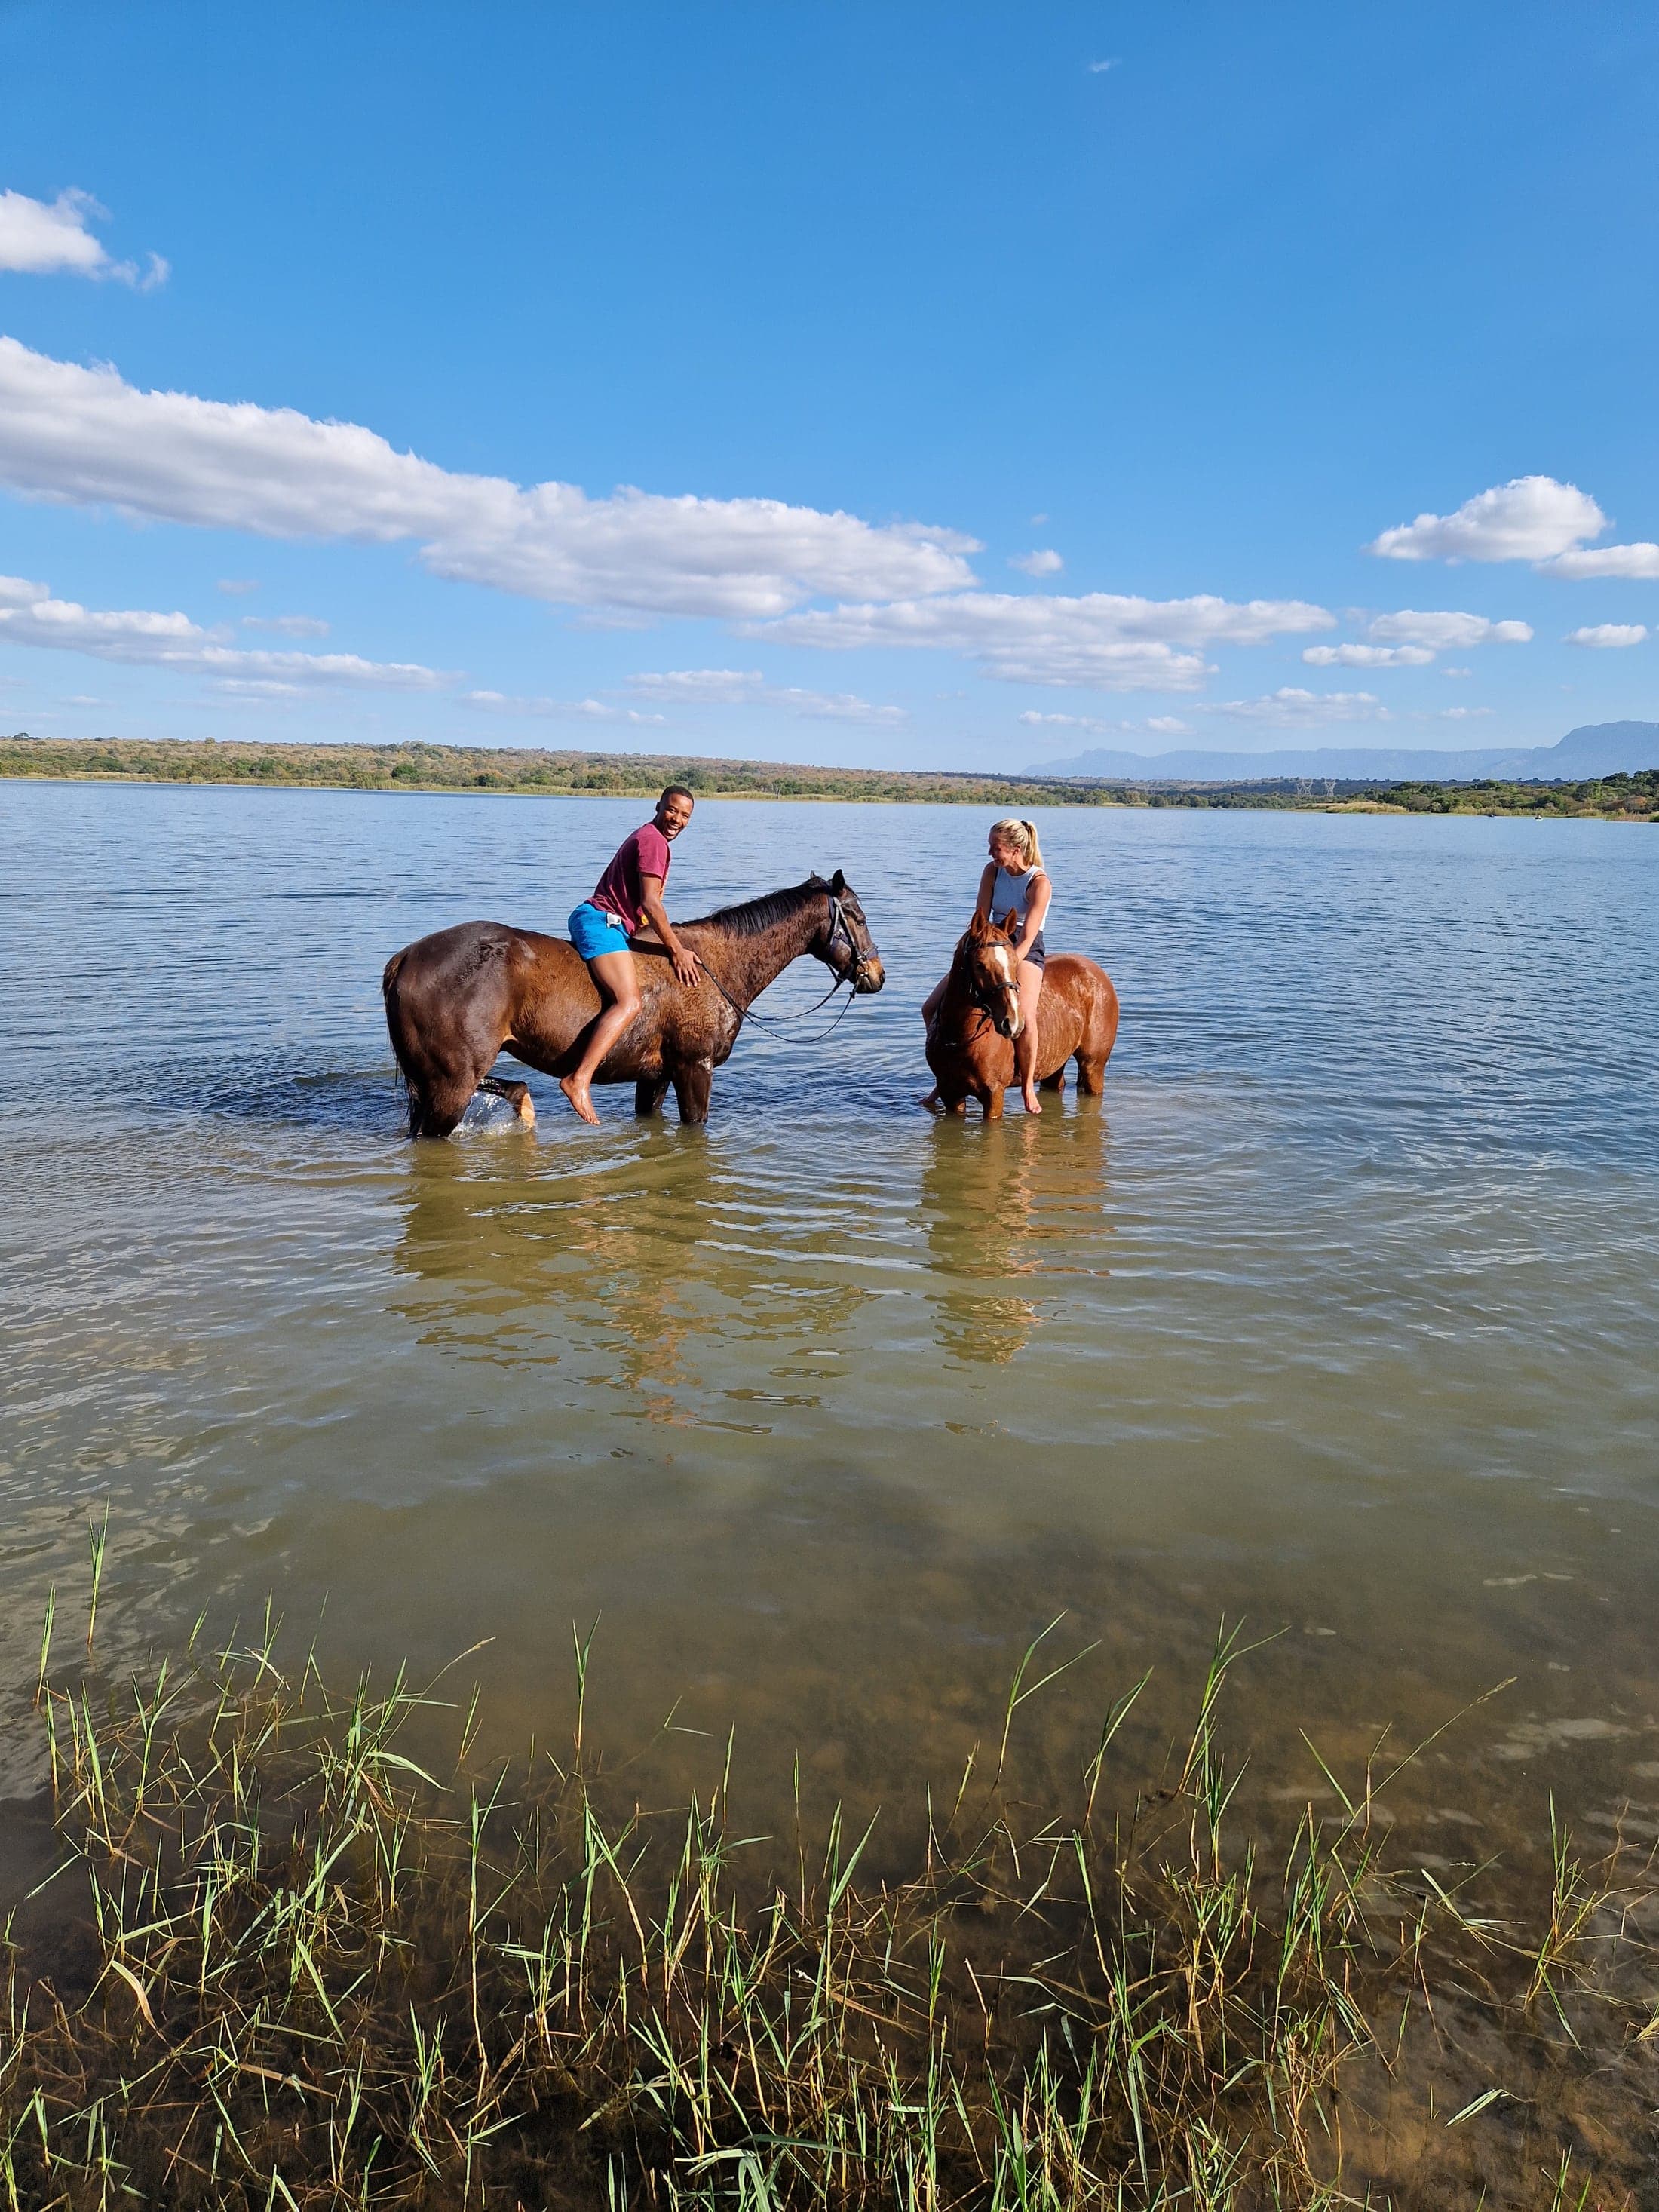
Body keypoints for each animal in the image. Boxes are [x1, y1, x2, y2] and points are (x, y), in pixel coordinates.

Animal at [382, 871, 884, 1137]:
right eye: (857, 917)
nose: (876, 975)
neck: (715, 966)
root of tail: (405, 958)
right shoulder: (694, 1068)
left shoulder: (656, 1076)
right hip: (450, 1087)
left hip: (437, 1083)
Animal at [924, 912, 1118, 1119]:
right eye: (980, 965)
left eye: (1015, 962)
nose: (1012, 1023)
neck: (960, 1038)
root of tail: (1097, 972)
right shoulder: (950, 1094)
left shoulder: (994, 1095)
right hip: (1056, 1063)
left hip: (1093, 1065)